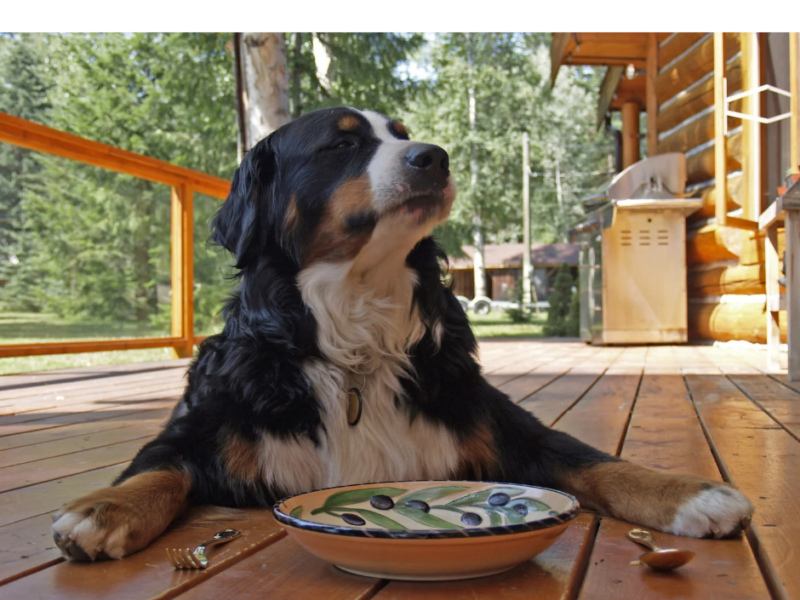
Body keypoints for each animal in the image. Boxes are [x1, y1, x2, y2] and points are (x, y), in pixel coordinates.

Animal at [53, 105, 752, 560]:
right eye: (340, 146)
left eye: (404, 136)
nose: (434, 157)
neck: (356, 337)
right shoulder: (203, 426)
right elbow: (159, 469)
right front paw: (102, 509)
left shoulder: (500, 423)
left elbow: (595, 461)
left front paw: (689, 494)